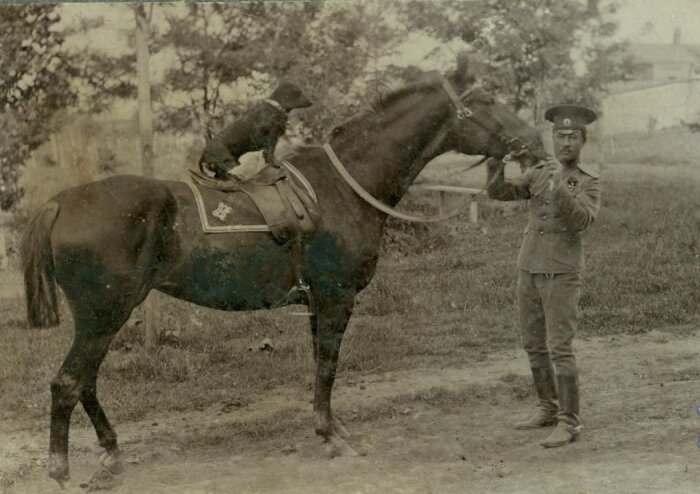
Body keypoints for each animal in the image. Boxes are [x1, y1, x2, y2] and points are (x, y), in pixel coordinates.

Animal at [20, 60, 540, 482]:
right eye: (487, 101)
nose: (533, 142)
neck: (342, 187)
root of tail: (59, 202)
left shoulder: (317, 302)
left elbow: (320, 367)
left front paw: (331, 428)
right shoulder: (336, 297)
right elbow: (328, 365)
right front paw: (332, 437)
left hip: (104, 317)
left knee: (85, 383)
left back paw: (111, 454)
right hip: (103, 316)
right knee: (68, 383)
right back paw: (63, 469)